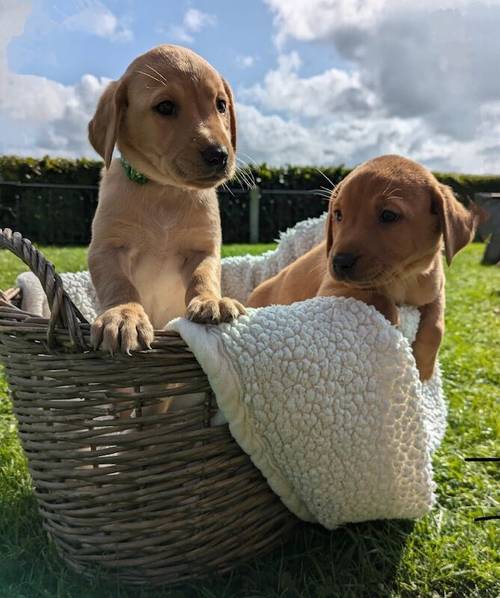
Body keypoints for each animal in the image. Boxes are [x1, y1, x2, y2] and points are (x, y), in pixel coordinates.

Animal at [90, 44, 246, 354]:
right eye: (165, 107)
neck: (165, 191)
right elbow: (119, 283)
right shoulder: (106, 248)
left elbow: (203, 277)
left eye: (221, 105)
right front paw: (123, 315)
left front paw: (212, 302)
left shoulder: (204, 249)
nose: (219, 155)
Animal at [248, 155, 486, 380]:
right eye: (338, 214)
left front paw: (424, 368)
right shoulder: (333, 289)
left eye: (388, 215)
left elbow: (436, 324)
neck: (403, 277)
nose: (338, 262)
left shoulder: (435, 290)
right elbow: (382, 301)